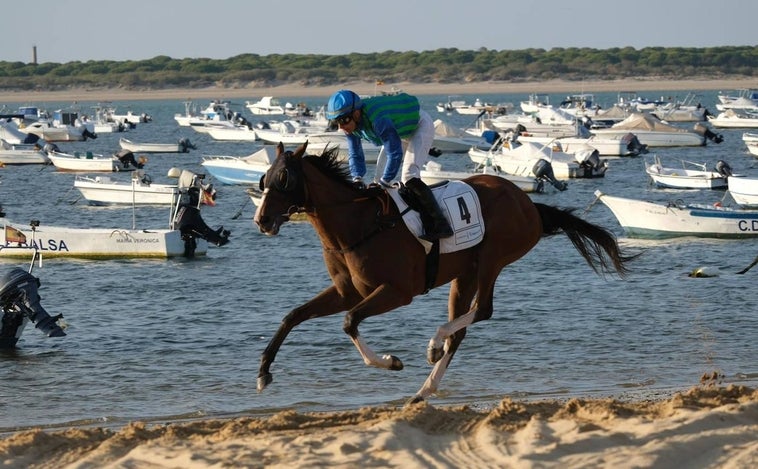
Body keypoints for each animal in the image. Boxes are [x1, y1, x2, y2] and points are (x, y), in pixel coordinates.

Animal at [254, 141, 636, 404]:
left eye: (284, 178)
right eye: (264, 178)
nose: (262, 220)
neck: (358, 226)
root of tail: (528, 203)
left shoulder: (397, 292)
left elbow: (349, 322)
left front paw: (391, 361)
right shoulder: (348, 291)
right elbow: (293, 316)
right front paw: (262, 373)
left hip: (493, 257)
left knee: (483, 311)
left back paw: (433, 346)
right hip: (464, 274)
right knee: (462, 328)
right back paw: (424, 388)